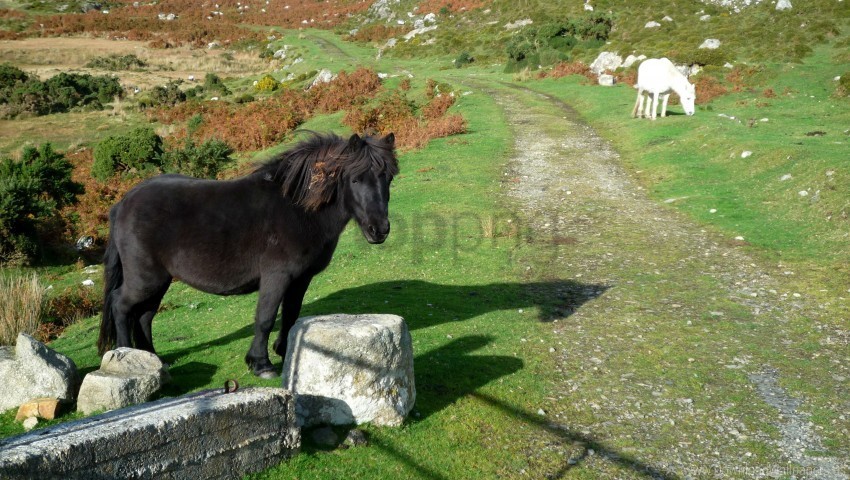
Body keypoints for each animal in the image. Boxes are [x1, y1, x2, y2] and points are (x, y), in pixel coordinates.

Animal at [97, 132, 398, 378]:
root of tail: (123, 203)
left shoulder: (300, 279)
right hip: (145, 279)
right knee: (121, 306)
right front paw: (261, 364)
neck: (298, 209)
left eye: (388, 178)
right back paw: (127, 357)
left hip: (159, 281)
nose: (379, 230)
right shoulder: (277, 276)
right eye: (355, 178)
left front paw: (286, 351)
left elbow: (290, 314)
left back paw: (154, 359)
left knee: (144, 316)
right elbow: (265, 318)